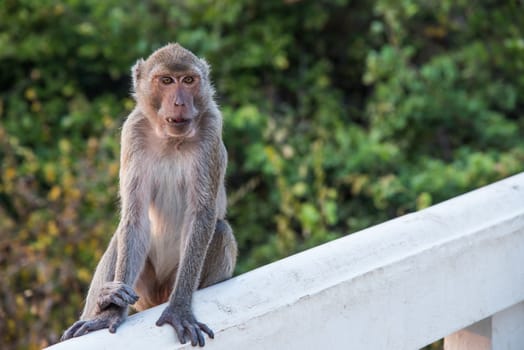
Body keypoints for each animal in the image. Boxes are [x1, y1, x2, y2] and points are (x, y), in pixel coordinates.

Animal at [62, 44, 239, 348]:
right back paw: (103, 303)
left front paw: (179, 308)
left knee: (220, 230)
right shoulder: (133, 132)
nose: (179, 103)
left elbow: (202, 215)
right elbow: (134, 218)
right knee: (120, 237)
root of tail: (154, 299)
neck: (171, 139)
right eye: (166, 81)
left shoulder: (211, 129)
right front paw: (111, 314)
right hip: (142, 289)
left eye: (188, 81)